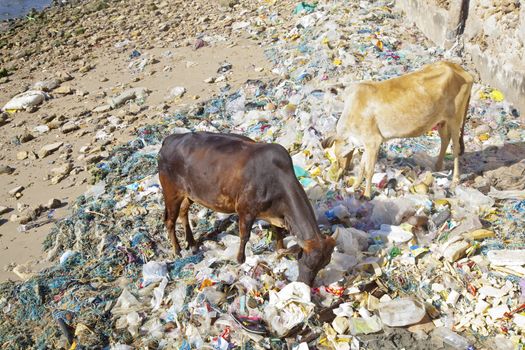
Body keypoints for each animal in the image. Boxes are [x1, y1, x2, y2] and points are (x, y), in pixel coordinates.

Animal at [158, 131, 334, 284]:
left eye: (324, 265)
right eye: (305, 261)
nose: (306, 283)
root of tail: (170, 139)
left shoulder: (275, 214)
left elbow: (278, 233)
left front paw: (280, 251)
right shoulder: (245, 211)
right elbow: (244, 236)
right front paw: (240, 259)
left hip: (190, 194)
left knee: (184, 212)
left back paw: (192, 242)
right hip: (171, 192)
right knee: (169, 220)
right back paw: (177, 249)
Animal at [322, 61, 472, 198]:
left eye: (341, 156)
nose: (343, 171)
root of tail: (460, 70)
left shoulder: (373, 142)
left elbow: (369, 170)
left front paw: (367, 194)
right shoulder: (366, 144)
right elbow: (362, 167)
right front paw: (354, 187)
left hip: (455, 120)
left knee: (455, 147)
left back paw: (455, 179)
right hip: (441, 121)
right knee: (445, 140)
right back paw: (438, 166)